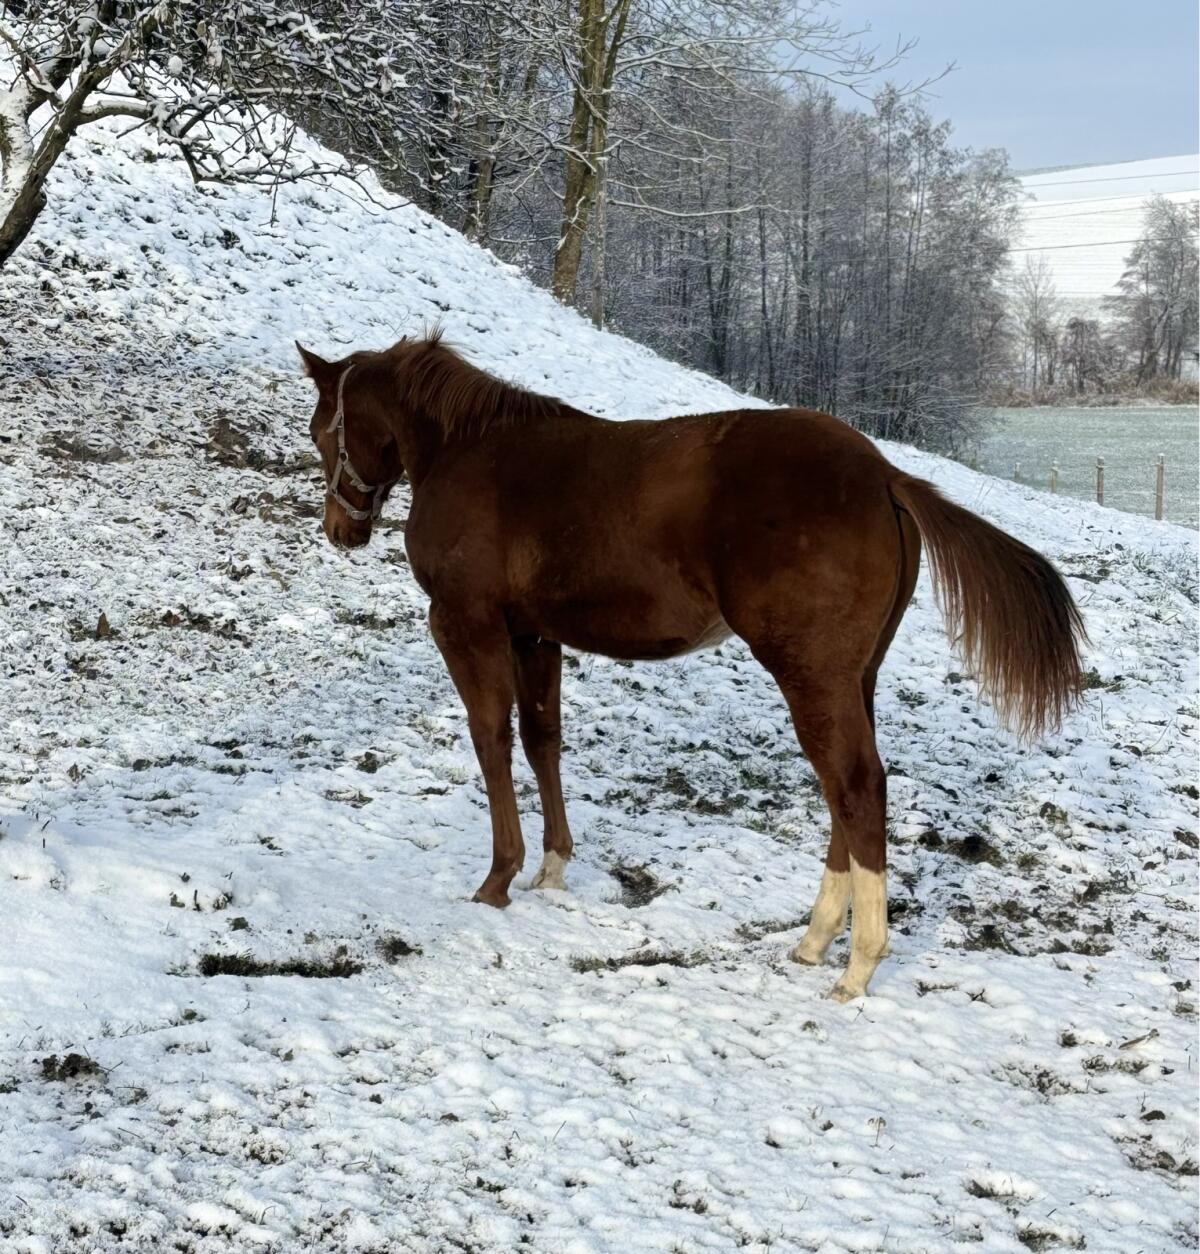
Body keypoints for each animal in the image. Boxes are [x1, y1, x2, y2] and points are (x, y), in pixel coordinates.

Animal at [296, 331, 1085, 1001]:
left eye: (321, 430)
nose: (341, 531)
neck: (471, 454)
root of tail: (884, 474)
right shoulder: (534, 637)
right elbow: (543, 740)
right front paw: (552, 867)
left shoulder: (467, 625)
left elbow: (491, 740)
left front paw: (499, 877)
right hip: (852, 677)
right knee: (849, 788)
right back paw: (816, 940)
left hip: (811, 674)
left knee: (856, 786)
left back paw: (857, 964)